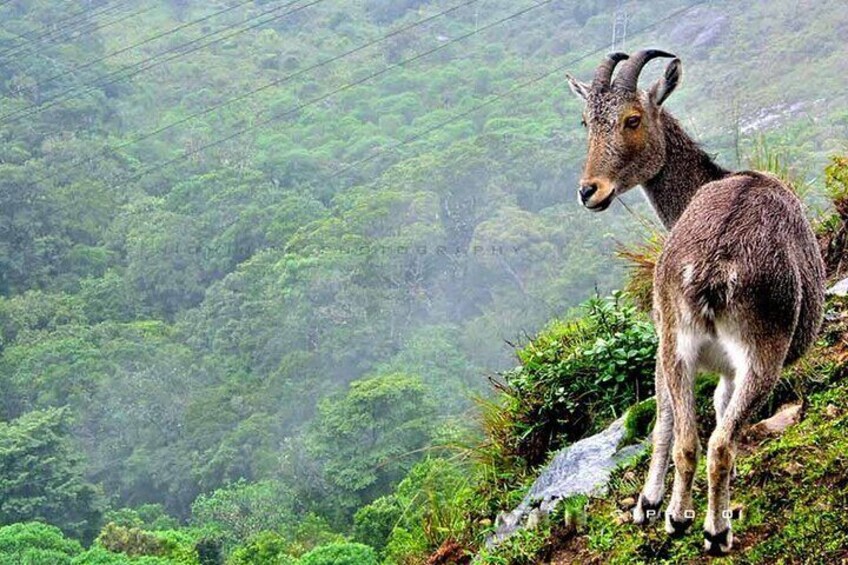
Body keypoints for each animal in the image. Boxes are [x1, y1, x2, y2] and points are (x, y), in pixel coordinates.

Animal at [568, 50, 824, 552]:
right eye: (586, 120)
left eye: (632, 118)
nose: (591, 191)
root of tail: (711, 271)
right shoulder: (712, 360)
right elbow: (709, 413)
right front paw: (659, 501)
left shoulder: (673, 341)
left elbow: (672, 414)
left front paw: (650, 502)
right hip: (757, 350)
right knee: (714, 441)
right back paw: (710, 527)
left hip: (688, 345)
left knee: (692, 438)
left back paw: (684, 519)